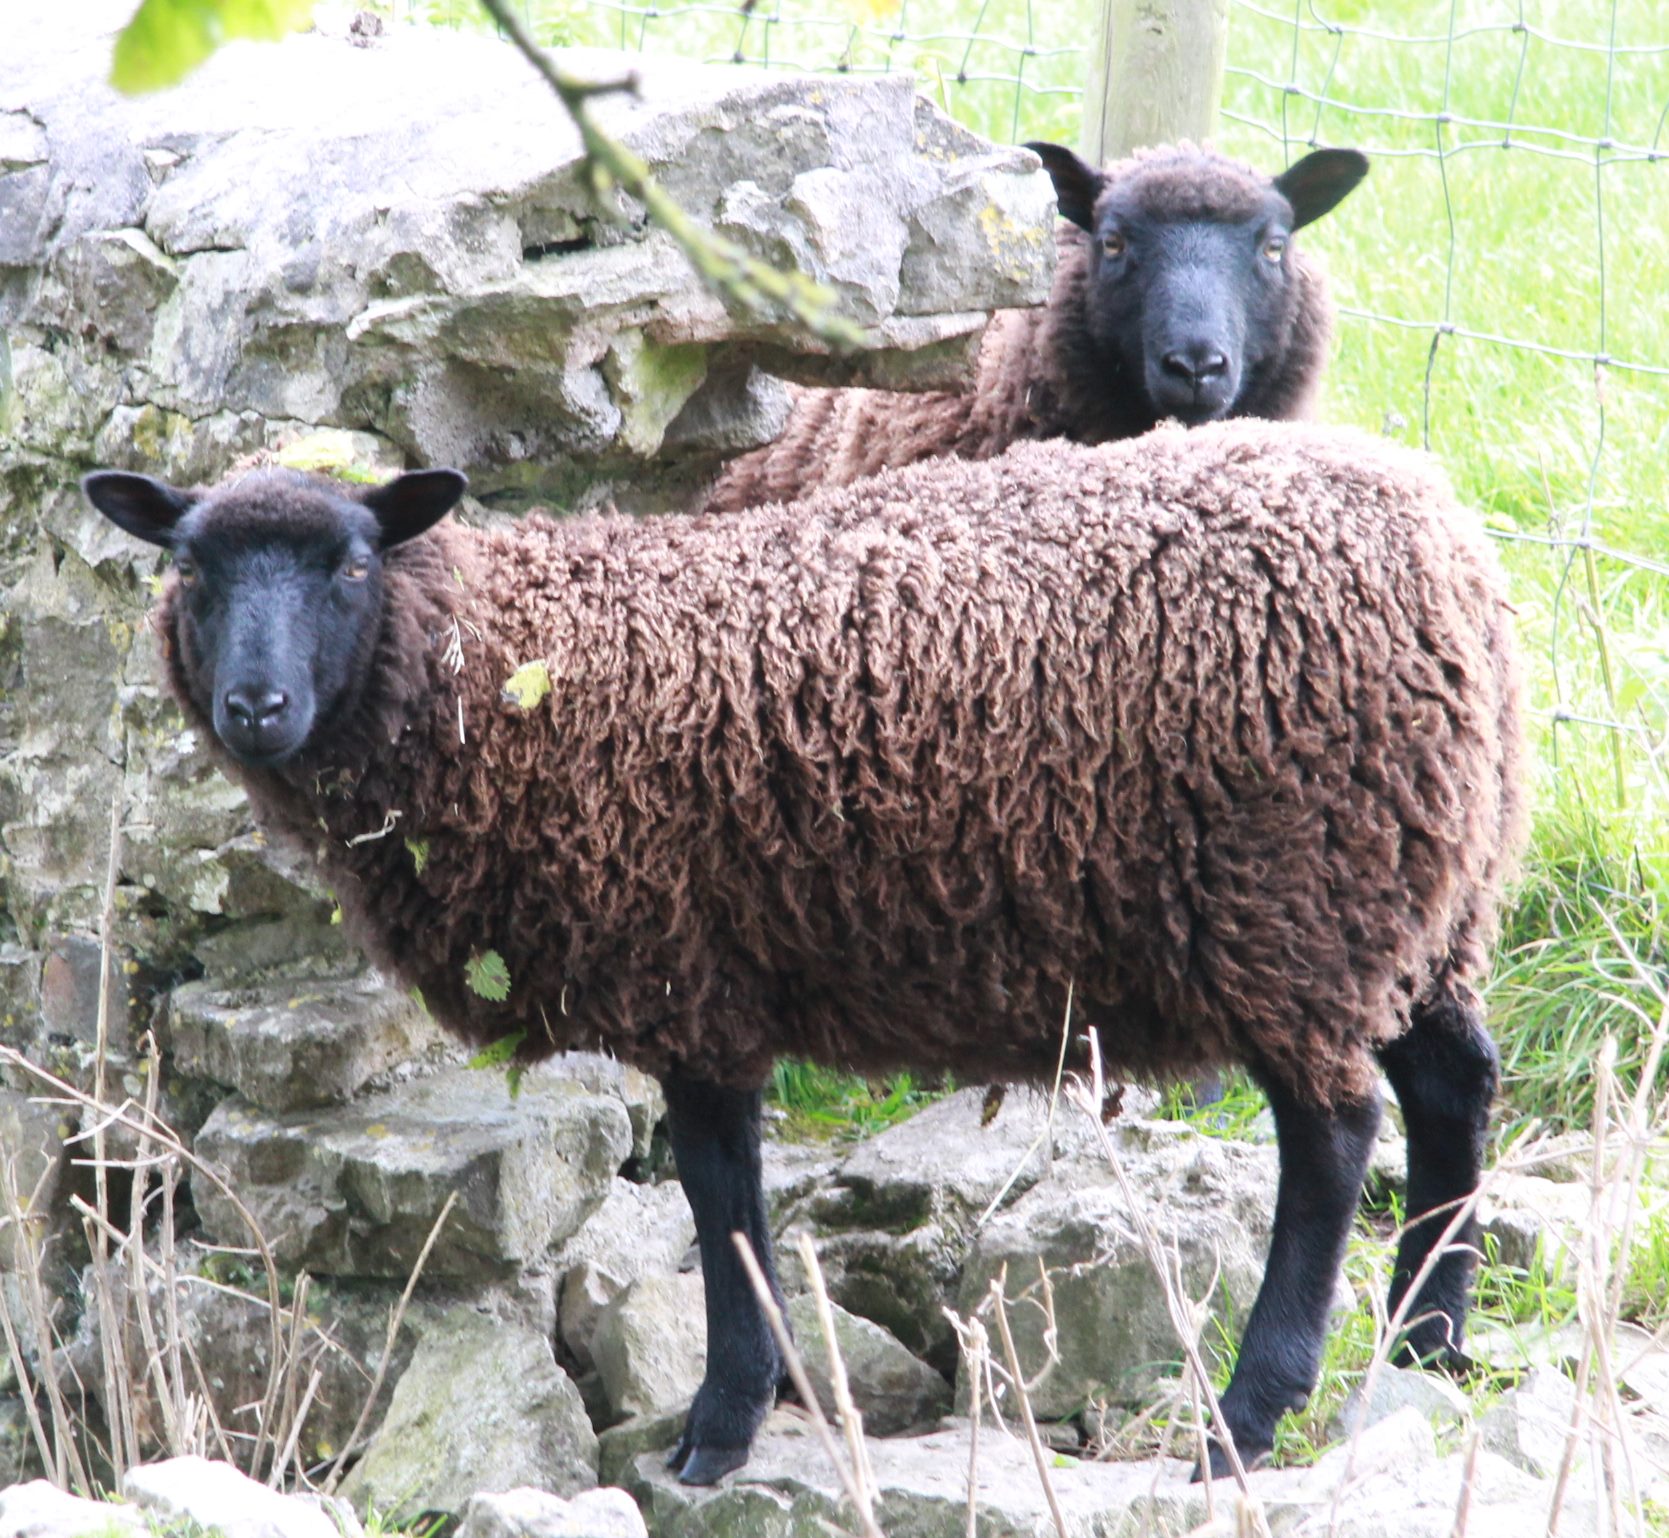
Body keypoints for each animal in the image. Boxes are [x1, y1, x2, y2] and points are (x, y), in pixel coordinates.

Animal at [88, 420, 1528, 1487]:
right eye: (193, 569)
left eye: (347, 565)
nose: (255, 706)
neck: (510, 673)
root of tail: (1447, 548)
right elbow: (730, 1204)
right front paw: (759, 1396)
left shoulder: (686, 973)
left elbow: (721, 1202)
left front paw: (722, 1426)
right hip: (1412, 897)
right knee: (1453, 1082)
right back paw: (1429, 1336)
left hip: (1291, 904)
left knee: (1334, 1135)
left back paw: (1250, 1413)